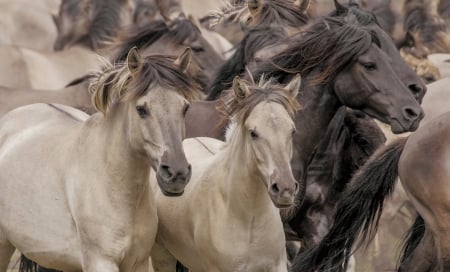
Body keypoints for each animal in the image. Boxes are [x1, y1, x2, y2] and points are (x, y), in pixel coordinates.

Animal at [151, 75, 302, 272]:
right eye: (253, 133)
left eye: (292, 131)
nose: (285, 189)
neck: (248, 217)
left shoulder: (276, 266)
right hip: (162, 257)